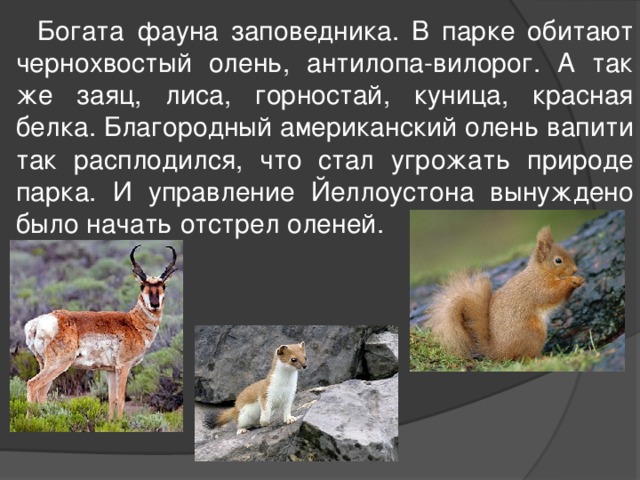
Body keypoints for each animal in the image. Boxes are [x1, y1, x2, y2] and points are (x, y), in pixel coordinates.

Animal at [24, 245, 178, 420]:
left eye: (163, 286)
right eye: (142, 286)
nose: (154, 304)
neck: (133, 322)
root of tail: (39, 322)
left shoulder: (110, 370)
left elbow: (112, 399)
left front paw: (111, 422)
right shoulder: (124, 367)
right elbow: (121, 399)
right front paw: (121, 423)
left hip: (44, 364)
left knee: (41, 392)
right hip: (58, 364)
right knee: (33, 384)